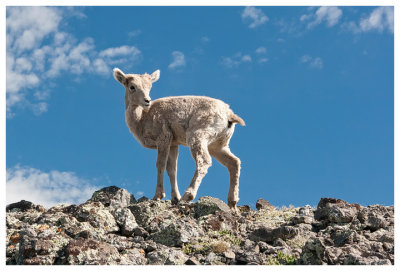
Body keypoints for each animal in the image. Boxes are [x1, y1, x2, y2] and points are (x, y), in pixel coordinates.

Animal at [111, 68, 244, 210]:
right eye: (132, 87)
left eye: (150, 87)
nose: (147, 100)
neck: (141, 119)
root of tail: (229, 115)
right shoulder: (174, 144)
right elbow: (172, 169)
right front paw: (175, 198)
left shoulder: (163, 138)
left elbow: (160, 164)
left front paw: (158, 196)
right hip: (217, 145)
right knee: (234, 162)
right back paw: (232, 202)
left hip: (197, 136)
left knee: (204, 161)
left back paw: (188, 196)